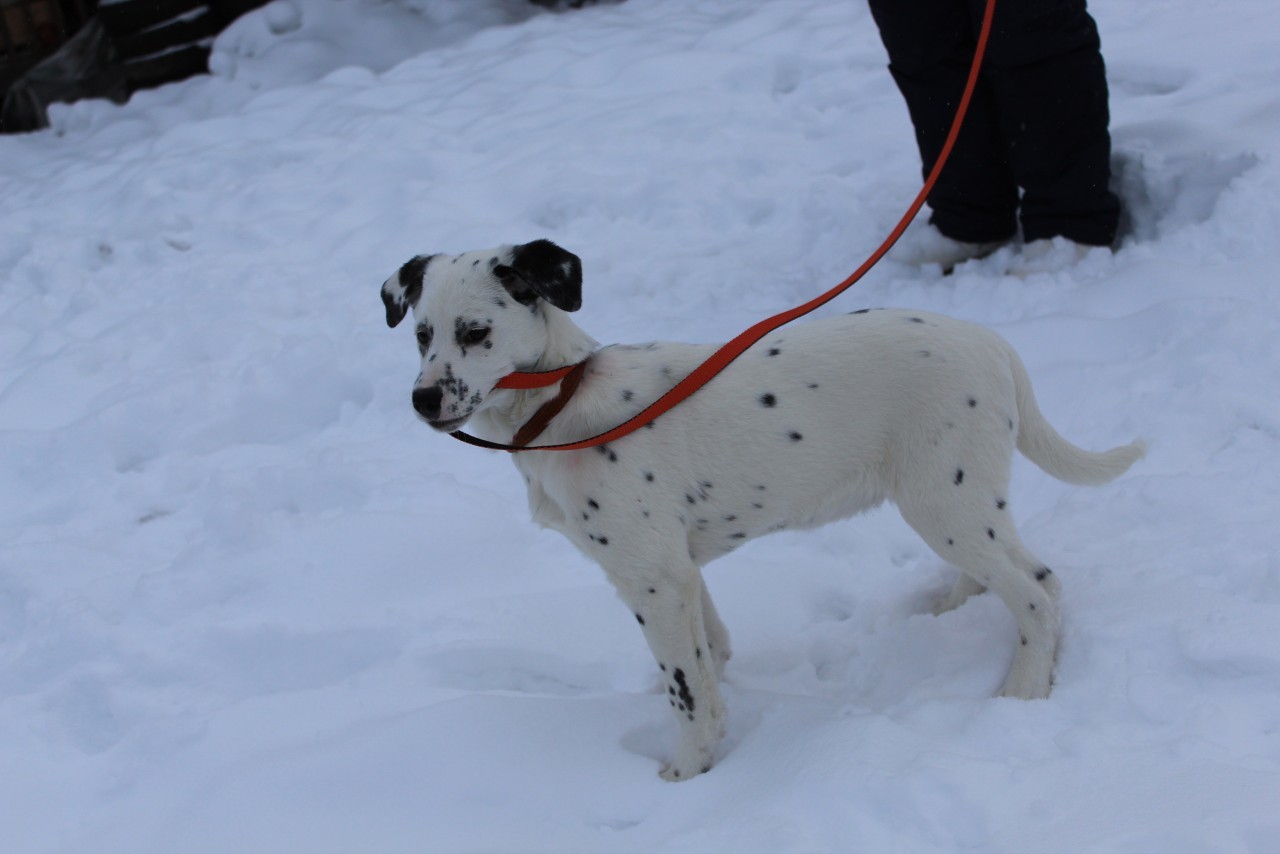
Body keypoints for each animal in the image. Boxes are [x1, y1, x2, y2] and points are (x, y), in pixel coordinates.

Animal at [376, 239, 1141, 783]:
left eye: (476, 332)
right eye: (421, 335)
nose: (422, 399)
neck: (561, 405)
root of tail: (994, 343)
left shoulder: (652, 579)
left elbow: (687, 686)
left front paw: (689, 770)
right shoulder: (680, 572)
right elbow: (708, 655)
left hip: (943, 500)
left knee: (1039, 587)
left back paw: (1025, 691)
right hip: (957, 501)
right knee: (999, 571)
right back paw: (950, 611)